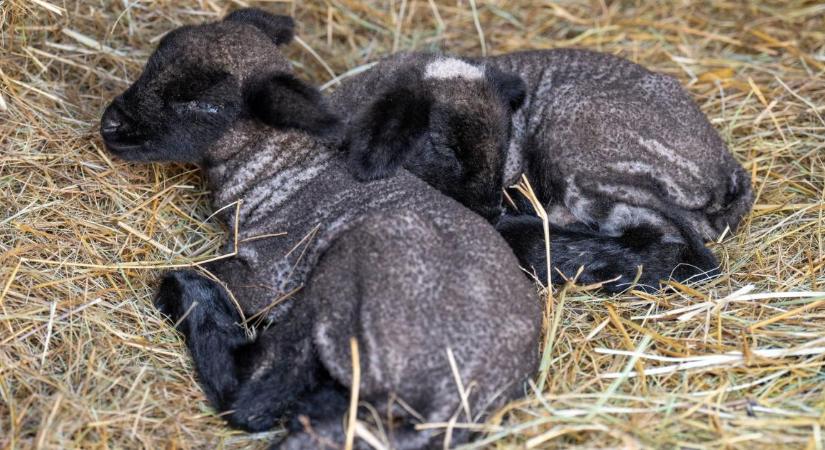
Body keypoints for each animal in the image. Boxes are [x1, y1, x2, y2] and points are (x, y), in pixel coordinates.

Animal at [100, 7, 540, 450]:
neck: (275, 165)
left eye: (205, 104)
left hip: (344, 275)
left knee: (257, 394)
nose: (111, 125)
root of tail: (449, 406)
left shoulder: (271, 274)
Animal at [332, 49, 748, 292]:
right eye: (443, 145)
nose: (490, 212)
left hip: (583, 144)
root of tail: (728, 172)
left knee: (664, 230)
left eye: (505, 140)